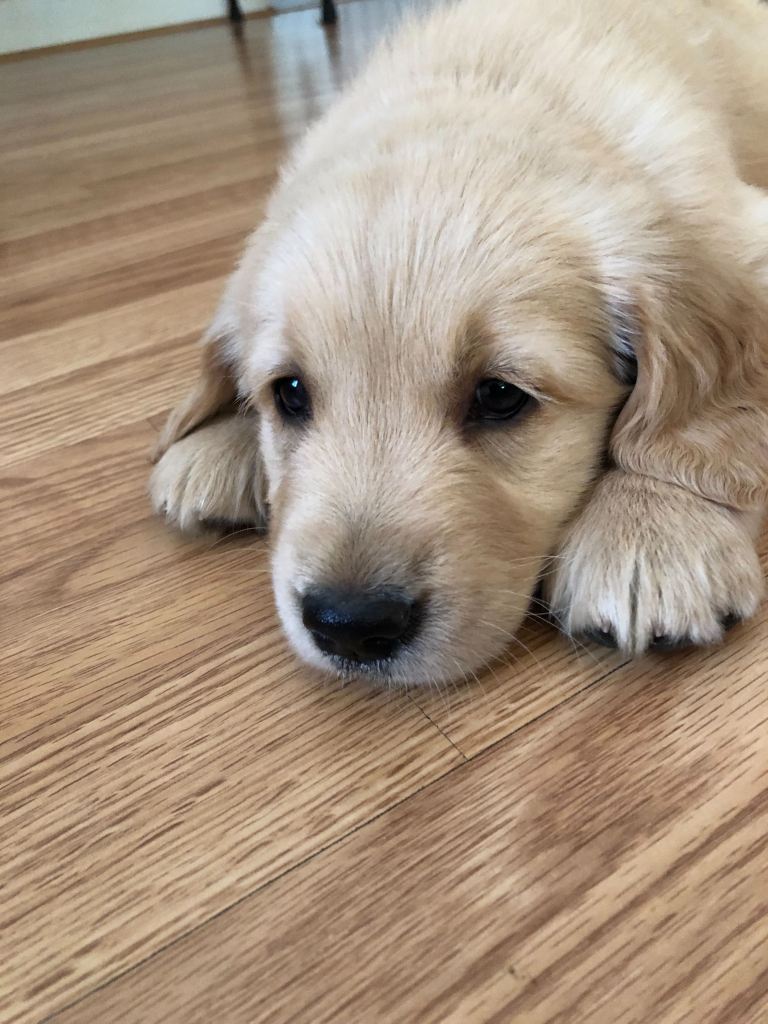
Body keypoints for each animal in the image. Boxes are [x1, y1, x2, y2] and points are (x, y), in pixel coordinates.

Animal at [151, 0, 768, 687]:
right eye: (288, 393)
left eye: (499, 397)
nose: (349, 625)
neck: (494, 82)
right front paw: (218, 440)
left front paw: (653, 526)